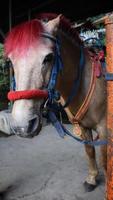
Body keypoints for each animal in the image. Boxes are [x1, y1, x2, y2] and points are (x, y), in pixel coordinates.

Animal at [0, 13, 107, 193]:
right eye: (11, 62)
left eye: (48, 57)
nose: (22, 126)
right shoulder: (83, 127)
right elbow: (89, 150)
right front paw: (92, 179)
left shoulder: (104, 129)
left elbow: (106, 160)